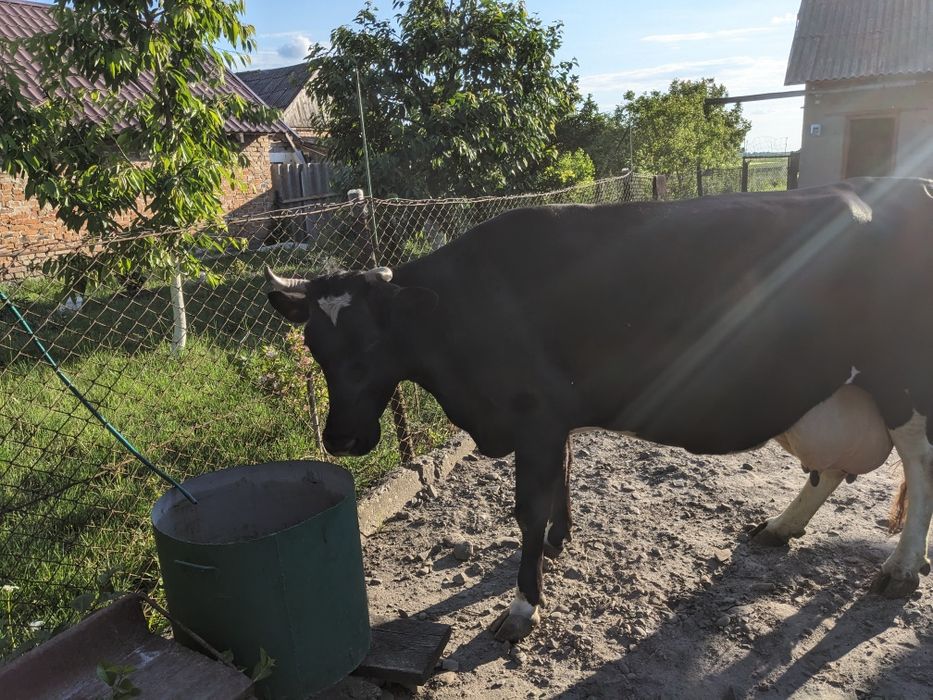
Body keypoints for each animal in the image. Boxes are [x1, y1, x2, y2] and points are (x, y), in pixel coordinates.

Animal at [265, 177, 933, 642]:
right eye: (315, 346)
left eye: (374, 345)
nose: (341, 439)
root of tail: (903, 184)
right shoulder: (553, 415)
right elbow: (562, 476)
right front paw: (561, 541)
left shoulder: (533, 414)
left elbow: (528, 508)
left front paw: (523, 605)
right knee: (833, 466)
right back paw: (781, 527)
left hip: (901, 377)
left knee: (919, 462)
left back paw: (902, 568)